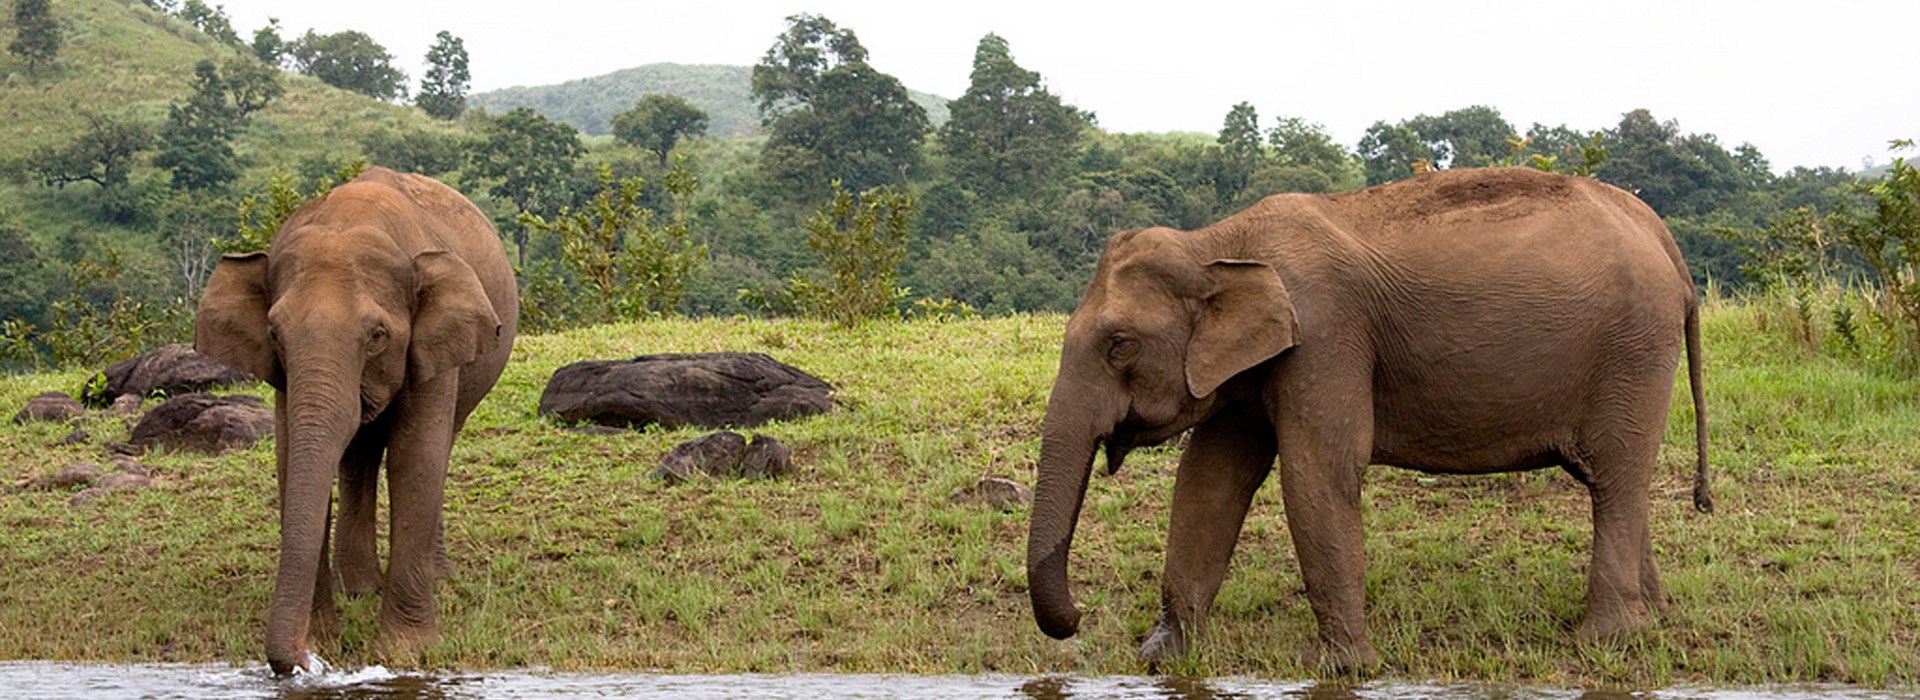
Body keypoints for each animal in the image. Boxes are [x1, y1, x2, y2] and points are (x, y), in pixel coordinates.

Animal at [193, 165, 518, 675]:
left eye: (378, 335)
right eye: (275, 334)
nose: (306, 661)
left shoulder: (432, 349)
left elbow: (416, 459)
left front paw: (406, 653)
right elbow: (292, 457)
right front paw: (326, 635)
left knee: (438, 446)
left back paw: (435, 576)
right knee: (359, 455)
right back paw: (360, 588)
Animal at [1029, 167, 1720, 671]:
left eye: (1118, 345)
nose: (1080, 616)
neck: (1218, 244)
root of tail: (1664, 239)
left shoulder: (1326, 336)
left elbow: (1319, 470)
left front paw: (1340, 668)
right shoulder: (1254, 367)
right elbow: (1209, 479)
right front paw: (1161, 658)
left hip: (1633, 349)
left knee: (1615, 476)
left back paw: (1605, 641)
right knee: (1615, 484)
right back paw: (1649, 625)